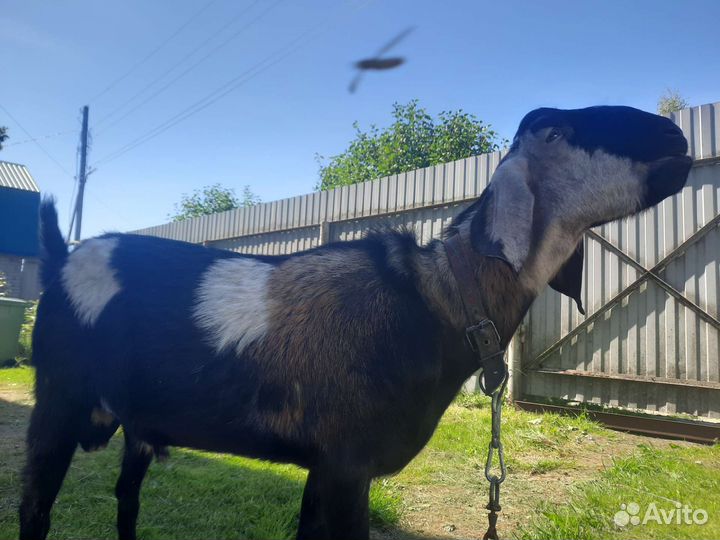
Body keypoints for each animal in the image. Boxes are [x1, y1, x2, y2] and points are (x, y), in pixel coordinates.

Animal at [19, 105, 691, 540]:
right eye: (559, 131)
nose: (674, 131)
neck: (436, 297)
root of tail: (61, 257)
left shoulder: (326, 467)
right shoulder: (347, 465)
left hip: (135, 424)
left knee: (125, 504)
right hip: (56, 399)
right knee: (35, 509)